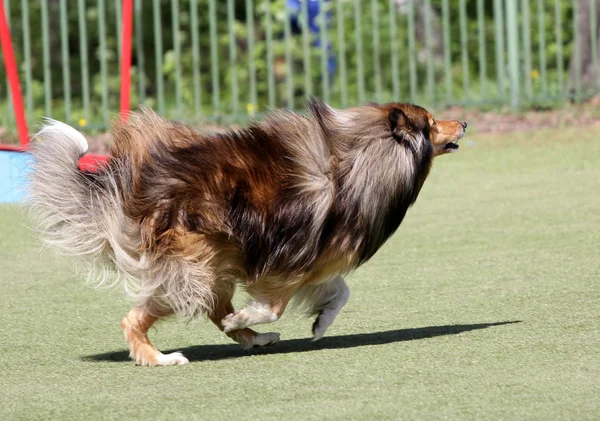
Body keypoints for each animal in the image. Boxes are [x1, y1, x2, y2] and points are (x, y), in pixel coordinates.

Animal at [27, 98, 468, 364]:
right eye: (431, 124)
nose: (462, 122)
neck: (364, 157)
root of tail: (133, 188)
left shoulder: (313, 259)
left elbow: (340, 291)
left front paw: (320, 323)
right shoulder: (288, 260)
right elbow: (275, 305)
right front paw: (249, 316)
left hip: (213, 263)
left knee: (213, 308)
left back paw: (253, 337)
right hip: (197, 265)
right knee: (138, 318)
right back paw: (162, 357)